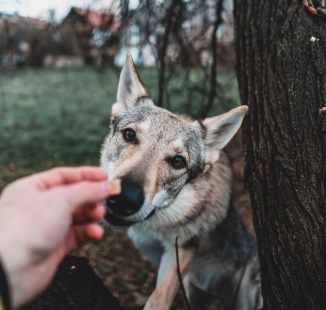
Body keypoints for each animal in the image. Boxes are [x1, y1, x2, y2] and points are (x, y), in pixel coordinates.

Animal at [100, 54, 262, 308]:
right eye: (129, 135)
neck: (157, 226)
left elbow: (158, 299)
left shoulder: (182, 250)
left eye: (177, 161)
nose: (125, 197)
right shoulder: (155, 252)